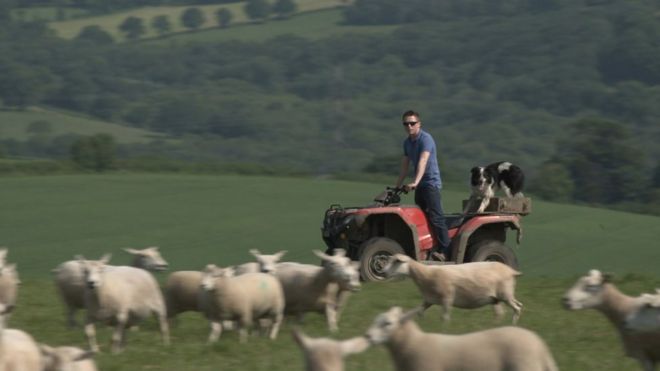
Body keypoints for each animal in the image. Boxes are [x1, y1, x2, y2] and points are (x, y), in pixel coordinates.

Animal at [384, 254, 524, 324]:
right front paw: (422, 322)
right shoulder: (429, 299)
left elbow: (444, 317)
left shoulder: (447, 297)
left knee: (517, 308)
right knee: (508, 309)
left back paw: (512, 324)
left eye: (396, 261)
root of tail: (512, 271)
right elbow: (419, 312)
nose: (383, 272)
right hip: (497, 298)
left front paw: (444, 329)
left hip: (505, 294)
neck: (425, 275)